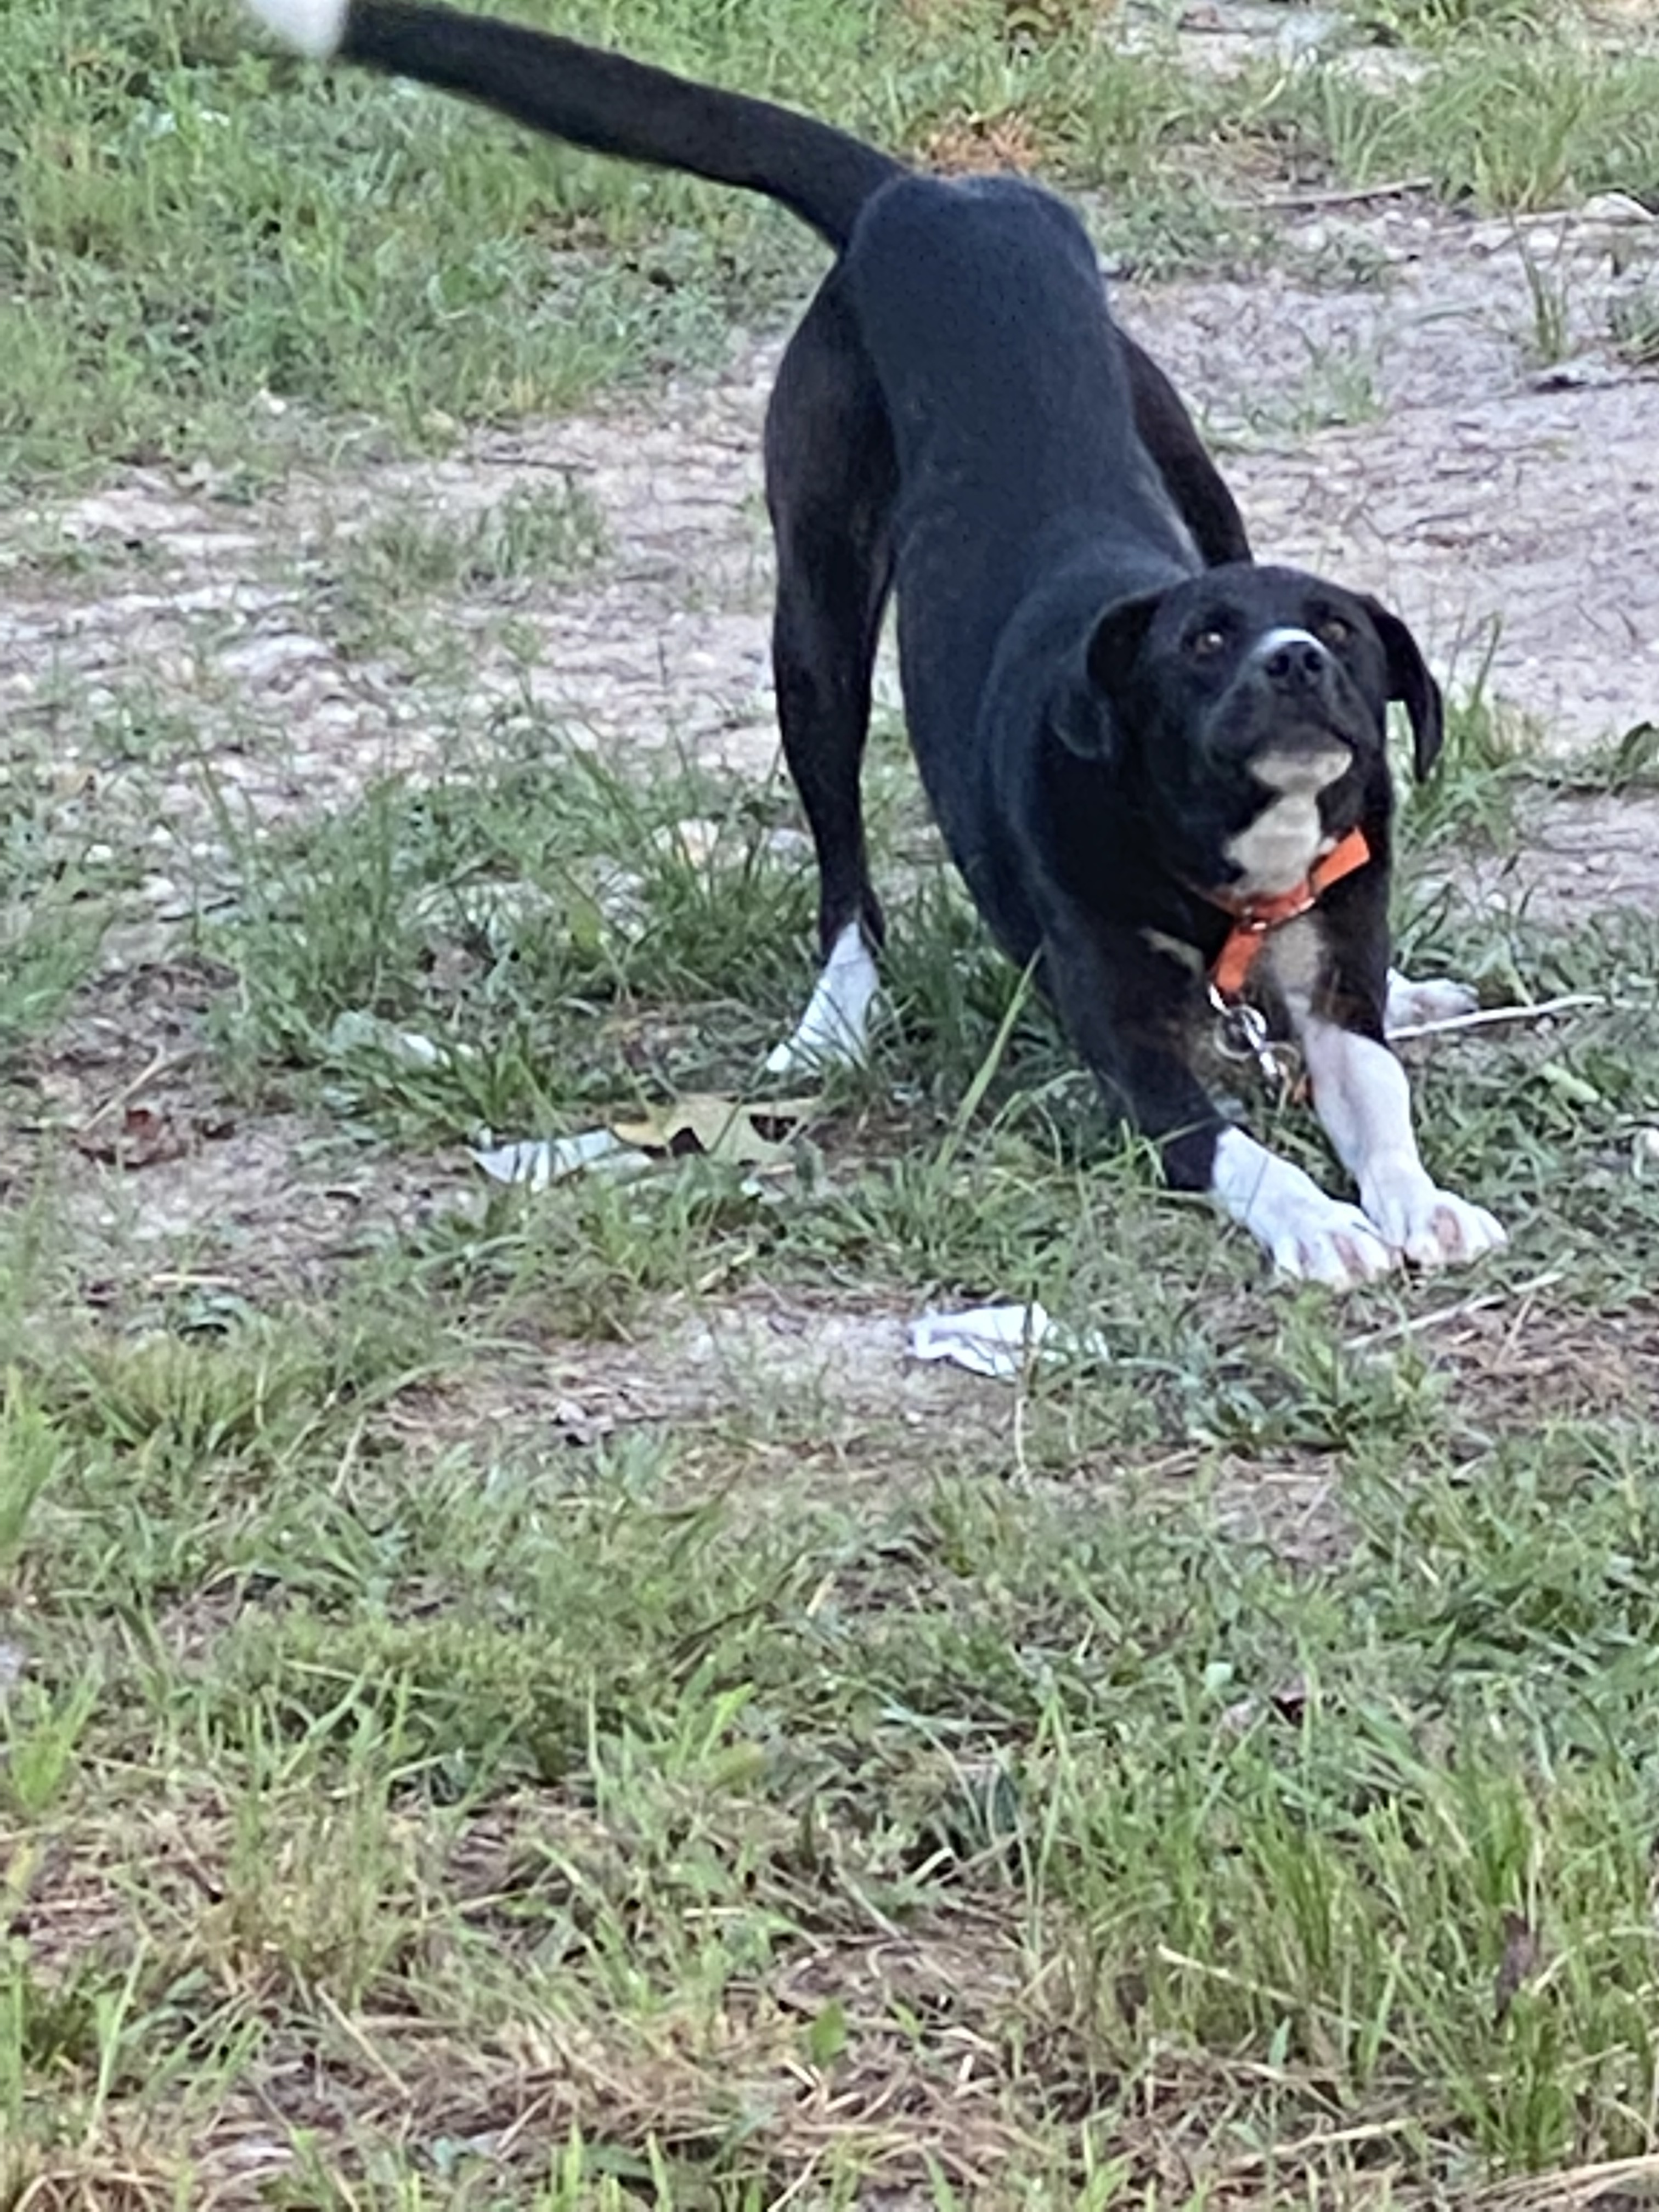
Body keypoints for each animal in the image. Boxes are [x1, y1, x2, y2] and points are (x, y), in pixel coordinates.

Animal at [243, 0, 1504, 1283]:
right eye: (1203, 641)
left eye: (1340, 631)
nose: (1292, 660)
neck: (1227, 869)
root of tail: (928, 199)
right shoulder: (1132, 1054)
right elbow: (1238, 1151)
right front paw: (1319, 1222)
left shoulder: (1331, 976)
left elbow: (1380, 1097)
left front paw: (1418, 1197)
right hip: (815, 623)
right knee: (841, 860)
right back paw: (831, 1023)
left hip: (1197, 482)